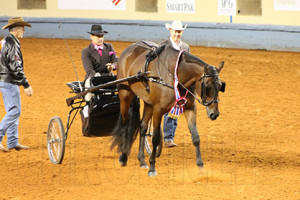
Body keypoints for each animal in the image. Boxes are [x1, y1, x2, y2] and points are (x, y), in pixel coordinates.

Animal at [110, 41, 225, 176]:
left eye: (220, 86)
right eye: (207, 86)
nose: (215, 113)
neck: (176, 75)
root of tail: (129, 49)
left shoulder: (190, 109)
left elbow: (196, 137)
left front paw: (201, 167)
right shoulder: (158, 109)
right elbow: (155, 138)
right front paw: (152, 168)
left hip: (148, 103)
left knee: (143, 127)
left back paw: (142, 160)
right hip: (125, 95)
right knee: (124, 125)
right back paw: (123, 157)